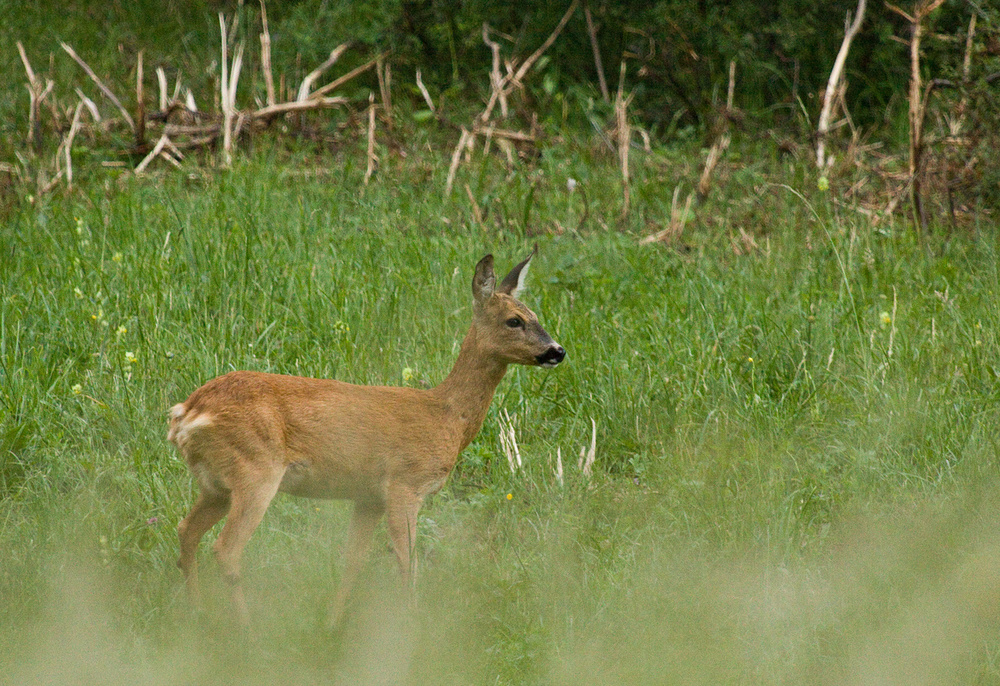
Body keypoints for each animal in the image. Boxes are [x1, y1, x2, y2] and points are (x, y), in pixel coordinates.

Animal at [168, 250, 568, 628]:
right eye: (514, 320)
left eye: (535, 315)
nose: (557, 351)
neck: (446, 417)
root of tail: (187, 413)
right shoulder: (405, 485)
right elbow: (408, 564)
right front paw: (412, 626)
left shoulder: (368, 497)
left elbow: (352, 562)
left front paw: (333, 625)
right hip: (256, 470)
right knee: (226, 549)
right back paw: (246, 632)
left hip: (217, 483)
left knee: (187, 530)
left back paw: (196, 614)